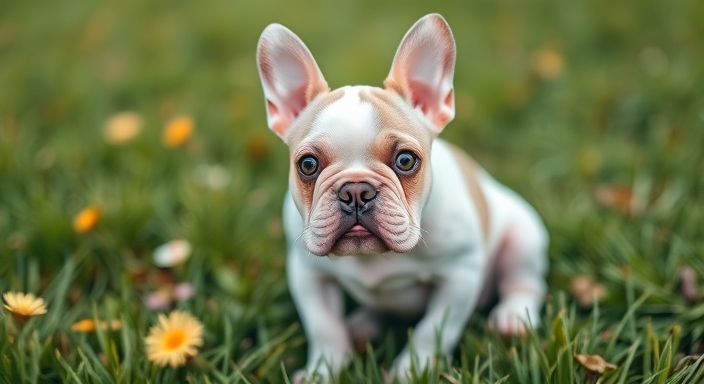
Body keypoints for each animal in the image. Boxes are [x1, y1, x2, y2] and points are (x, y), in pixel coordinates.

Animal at [256, 13, 548, 382]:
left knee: (523, 282)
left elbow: (432, 331)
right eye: (307, 165)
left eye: (406, 160)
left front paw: (411, 371)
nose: (356, 190)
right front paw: (322, 371)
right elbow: (324, 328)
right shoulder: (307, 274)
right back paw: (362, 326)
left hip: (524, 236)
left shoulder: (460, 275)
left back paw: (513, 317)